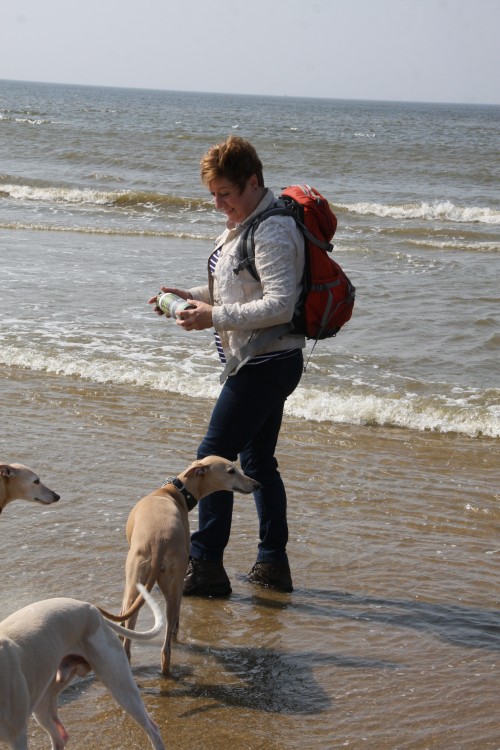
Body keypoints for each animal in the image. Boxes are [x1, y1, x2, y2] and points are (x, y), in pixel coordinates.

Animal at [0, 583, 165, 750]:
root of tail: (92, 608)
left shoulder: (17, 738)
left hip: (121, 687)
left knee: (153, 729)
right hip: (43, 703)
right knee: (60, 737)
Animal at [98, 455, 260, 676]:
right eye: (231, 471)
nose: (257, 485)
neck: (173, 492)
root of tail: (158, 542)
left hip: (137, 584)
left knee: (139, 636)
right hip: (163, 585)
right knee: (163, 639)